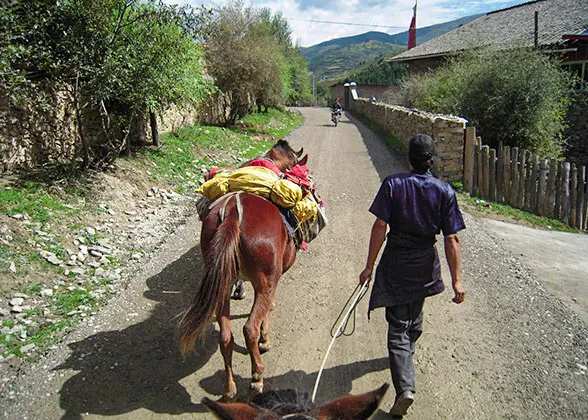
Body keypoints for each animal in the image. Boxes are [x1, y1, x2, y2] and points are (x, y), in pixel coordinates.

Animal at [179, 140, 308, 400]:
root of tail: (231, 213)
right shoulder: (270, 281)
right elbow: (265, 312)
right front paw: (265, 339)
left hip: (222, 282)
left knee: (226, 337)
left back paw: (229, 389)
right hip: (264, 280)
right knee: (249, 329)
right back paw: (257, 376)